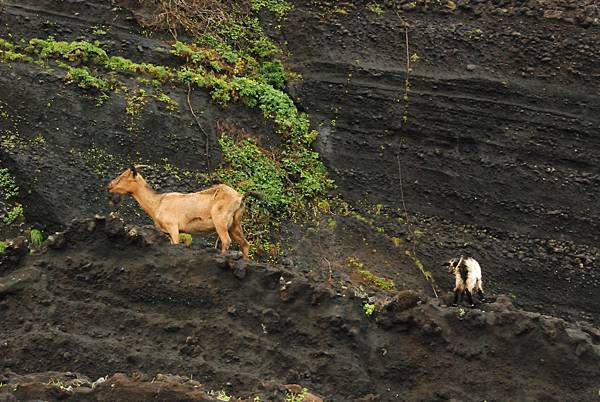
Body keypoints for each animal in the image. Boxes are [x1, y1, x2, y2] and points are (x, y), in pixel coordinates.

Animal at [108, 166, 258, 258]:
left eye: (123, 176)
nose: (109, 186)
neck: (157, 203)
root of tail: (240, 197)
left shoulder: (173, 227)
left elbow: (175, 244)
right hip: (235, 224)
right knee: (245, 244)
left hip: (220, 221)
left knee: (226, 241)